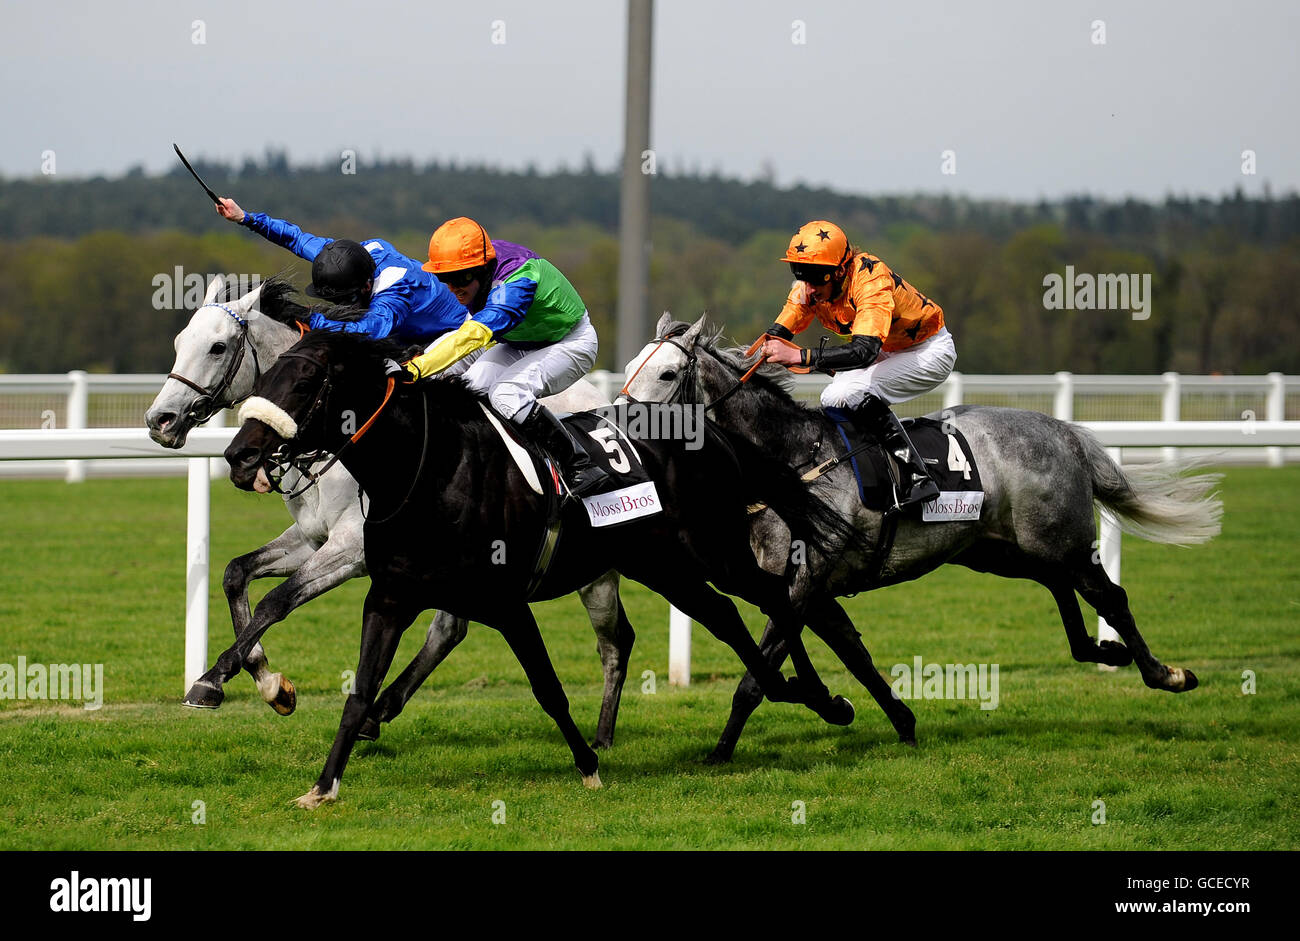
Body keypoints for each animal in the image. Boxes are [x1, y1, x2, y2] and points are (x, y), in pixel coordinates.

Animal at [147, 275, 634, 748]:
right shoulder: (313, 537)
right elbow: (236, 573)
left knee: (614, 639)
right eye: (179, 341)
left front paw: (218, 678)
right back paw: (377, 713)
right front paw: (262, 681)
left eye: (218, 346)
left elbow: (278, 600)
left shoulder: (354, 548)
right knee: (449, 629)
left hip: (591, 565)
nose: (160, 421)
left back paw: (603, 737)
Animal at [223, 331, 863, 811]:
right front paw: (322, 785)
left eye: (305, 383)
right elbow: (359, 693)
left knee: (776, 598)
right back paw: (791, 690)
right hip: (664, 565)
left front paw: (589, 765)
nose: (237, 455)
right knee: (727, 616)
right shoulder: (389, 597)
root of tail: (714, 432)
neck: (429, 469)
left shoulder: (505, 602)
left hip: (715, 551)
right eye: (265, 378)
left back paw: (818, 696)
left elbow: (548, 688)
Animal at [624, 315, 1222, 764]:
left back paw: (1166, 673)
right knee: (1059, 586)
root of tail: (1067, 432)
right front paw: (894, 719)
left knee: (1110, 596)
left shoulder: (806, 581)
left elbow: (759, 677)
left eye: (668, 373)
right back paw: (1102, 650)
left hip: (1062, 540)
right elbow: (851, 654)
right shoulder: (804, 588)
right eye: (630, 369)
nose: (623, 429)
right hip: (998, 550)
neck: (793, 462)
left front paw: (720, 752)